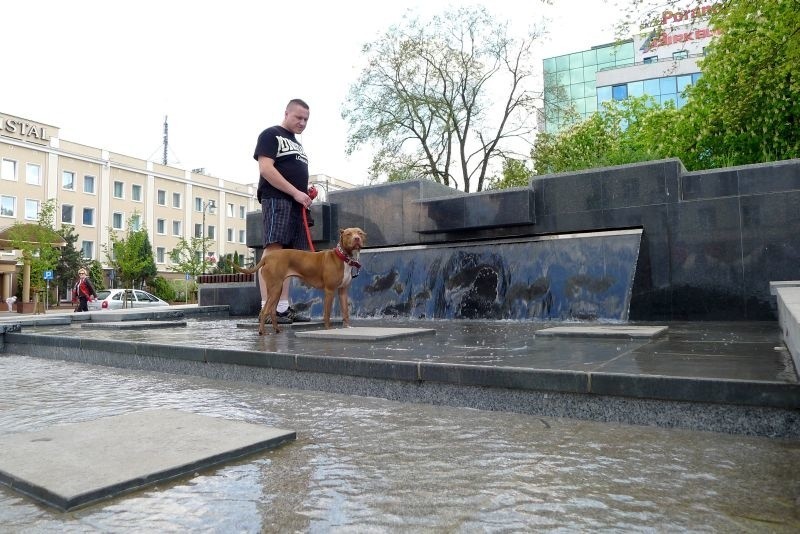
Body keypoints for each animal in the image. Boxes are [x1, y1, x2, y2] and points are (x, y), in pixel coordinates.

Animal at [234, 227, 366, 336]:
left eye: (360, 233)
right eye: (348, 234)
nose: (357, 238)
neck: (343, 257)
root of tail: (267, 257)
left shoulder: (343, 291)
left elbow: (345, 312)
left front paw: (347, 327)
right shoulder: (329, 291)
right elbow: (327, 314)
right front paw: (328, 330)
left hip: (277, 289)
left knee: (271, 310)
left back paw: (277, 330)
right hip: (275, 288)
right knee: (264, 310)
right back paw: (262, 332)